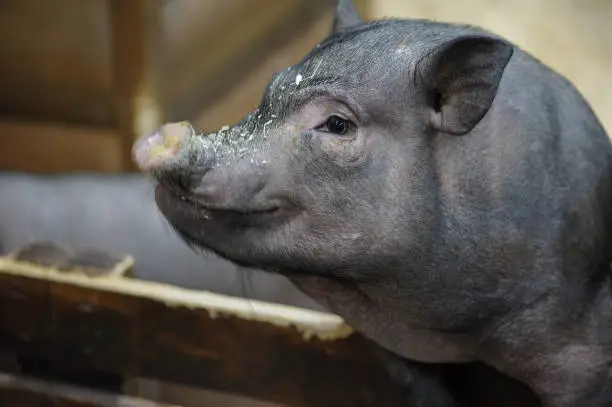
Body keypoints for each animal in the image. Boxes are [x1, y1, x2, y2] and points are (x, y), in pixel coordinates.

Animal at [131, 1, 612, 406]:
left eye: (337, 124)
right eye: (268, 93)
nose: (162, 138)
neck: (450, 334)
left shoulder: (581, 360)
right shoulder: (402, 357)